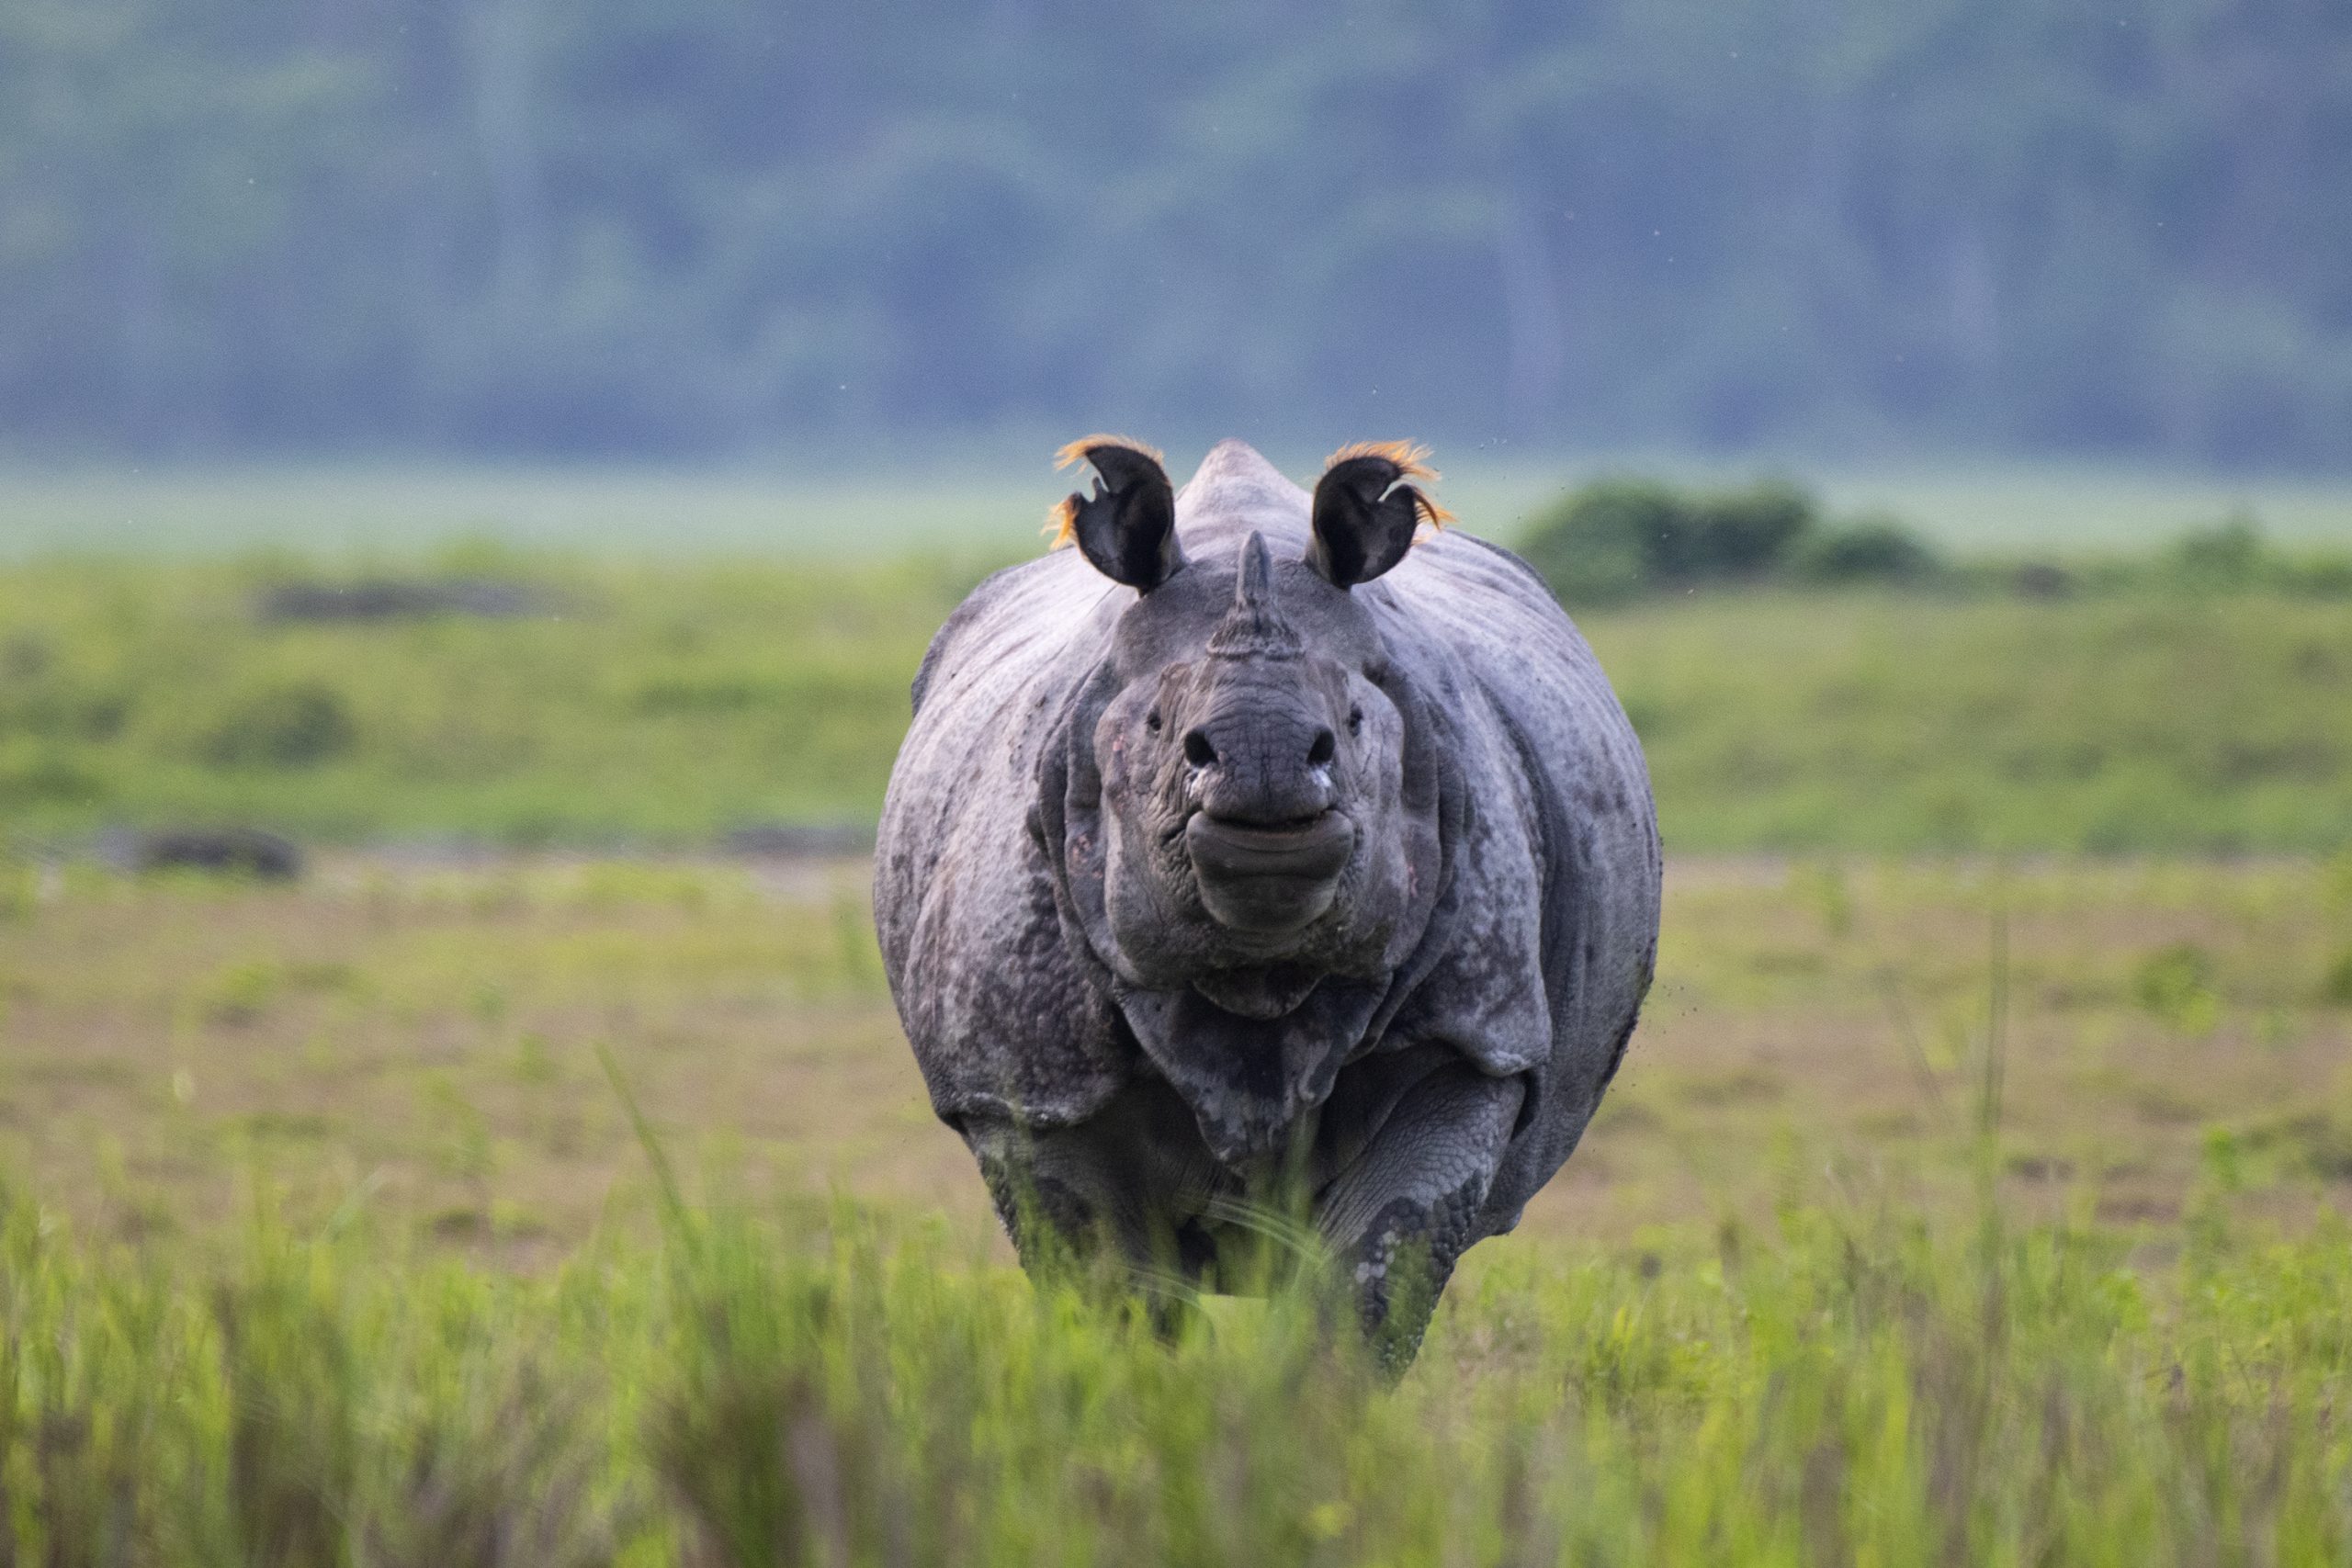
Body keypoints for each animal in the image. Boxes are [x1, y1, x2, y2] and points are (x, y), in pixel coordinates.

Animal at [875, 434, 1665, 1363]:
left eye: (1354, 724)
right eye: (1159, 730)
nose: (1265, 763)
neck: (1254, 975)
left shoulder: (1474, 1034)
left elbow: (1375, 1275)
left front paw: (1316, 1402)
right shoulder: (1024, 1083)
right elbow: (1109, 1292)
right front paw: (1143, 1392)